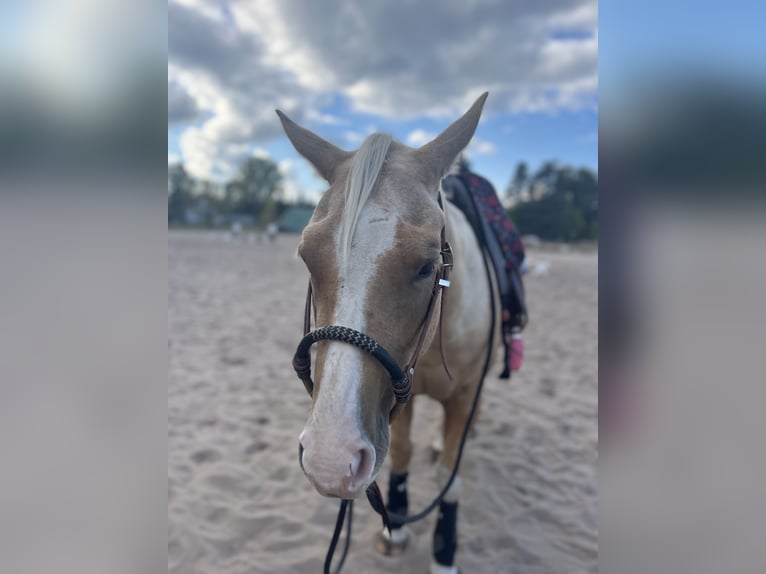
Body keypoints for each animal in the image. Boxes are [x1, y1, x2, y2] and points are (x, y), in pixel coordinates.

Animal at [277, 92, 501, 574]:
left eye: (427, 265)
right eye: (306, 257)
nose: (330, 458)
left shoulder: (464, 393)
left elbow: (450, 477)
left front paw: (444, 552)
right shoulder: (400, 395)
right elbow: (400, 455)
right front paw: (395, 526)